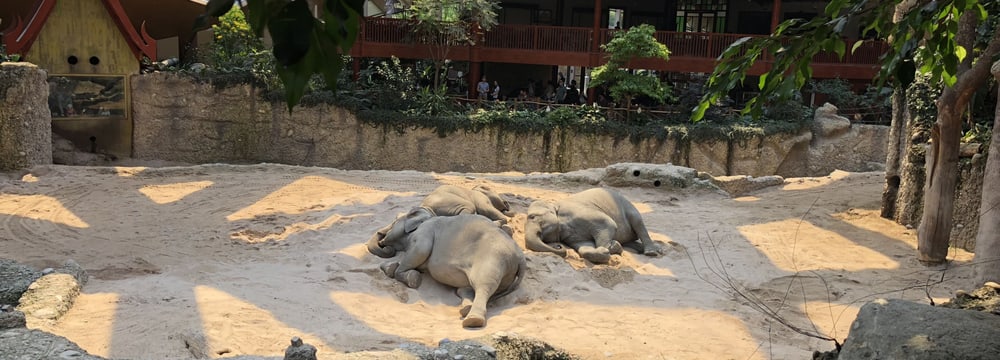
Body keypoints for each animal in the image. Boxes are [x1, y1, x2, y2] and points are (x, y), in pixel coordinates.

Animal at [366, 208, 524, 330]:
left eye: (394, 221)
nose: (383, 242)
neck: (429, 215)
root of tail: (520, 256)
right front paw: (391, 268)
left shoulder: (425, 232)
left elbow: (420, 250)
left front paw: (412, 278)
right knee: (465, 289)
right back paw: (465, 309)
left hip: (493, 259)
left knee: (483, 285)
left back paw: (472, 320)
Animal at [524, 188, 664, 264]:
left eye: (532, 216)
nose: (558, 246)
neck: (554, 205)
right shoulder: (571, 236)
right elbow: (585, 247)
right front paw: (610, 249)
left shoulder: (579, 212)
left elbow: (608, 223)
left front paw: (612, 248)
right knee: (630, 241)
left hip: (628, 206)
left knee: (638, 222)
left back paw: (651, 252)